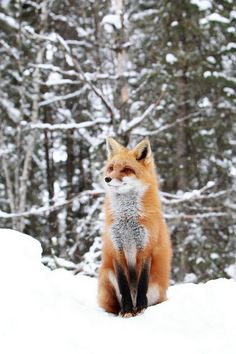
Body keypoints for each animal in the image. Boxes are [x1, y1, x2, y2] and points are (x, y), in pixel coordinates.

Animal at [97, 137, 172, 316]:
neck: (128, 219)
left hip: (156, 289)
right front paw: (127, 310)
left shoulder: (146, 247)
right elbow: (123, 285)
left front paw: (141, 308)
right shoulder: (117, 248)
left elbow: (142, 284)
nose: (107, 179)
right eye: (111, 168)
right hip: (107, 273)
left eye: (126, 170)